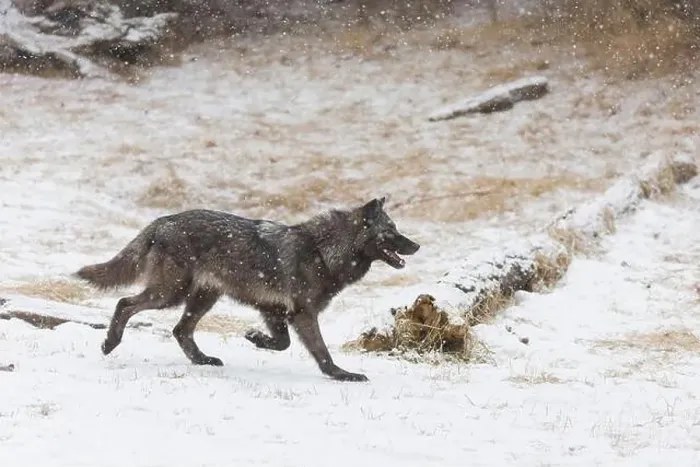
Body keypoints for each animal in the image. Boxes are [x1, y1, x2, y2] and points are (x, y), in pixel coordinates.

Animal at [74, 197, 420, 382]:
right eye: (391, 231)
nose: (417, 245)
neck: (324, 251)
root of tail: (163, 220)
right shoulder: (302, 314)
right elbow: (321, 352)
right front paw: (342, 375)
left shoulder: (274, 311)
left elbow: (282, 343)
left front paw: (255, 338)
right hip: (170, 294)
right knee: (125, 303)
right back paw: (110, 343)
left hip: (202, 298)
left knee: (180, 330)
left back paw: (203, 360)